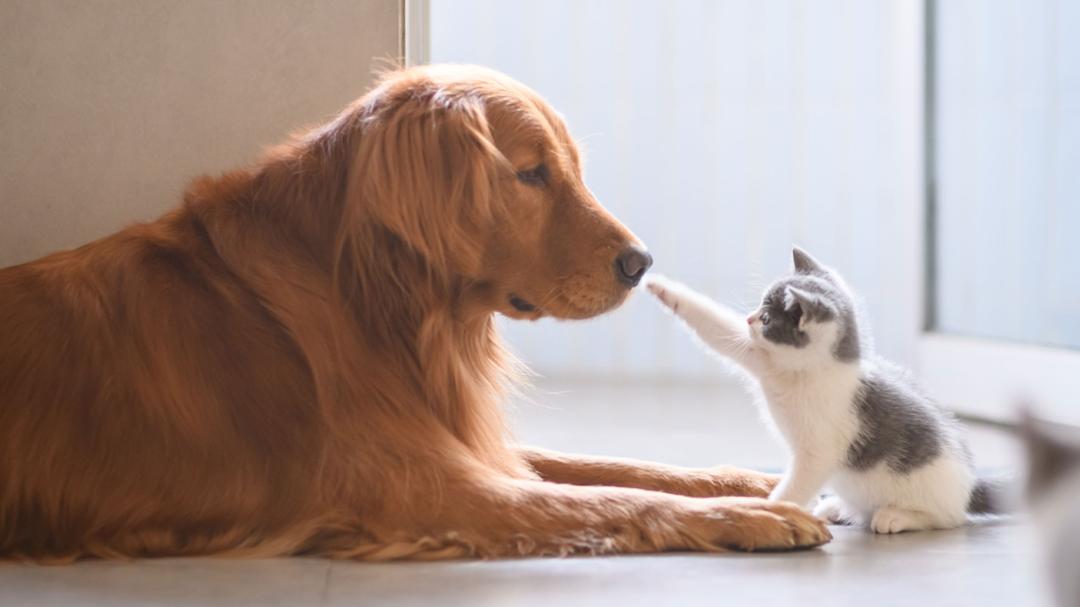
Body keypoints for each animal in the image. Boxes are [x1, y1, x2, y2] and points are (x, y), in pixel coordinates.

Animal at [0, 63, 825, 561]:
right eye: (531, 174)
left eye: (570, 168)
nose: (640, 262)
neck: (376, 302)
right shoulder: (426, 487)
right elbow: (612, 495)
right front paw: (757, 516)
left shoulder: (463, 441)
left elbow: (620, 465)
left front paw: (751, 482)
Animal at [639, 246, 1002, 529]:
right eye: (759, 307)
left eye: (767, 318)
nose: (749, 319)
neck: (800, 373)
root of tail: (970, 484)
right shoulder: (761, 358)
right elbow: (716, 329)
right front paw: (663, 289)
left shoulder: (819, 452)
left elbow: (799, 483)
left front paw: (769, 511)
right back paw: (837, 507)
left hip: (932, 489)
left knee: (947, 518)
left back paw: (898, 516)